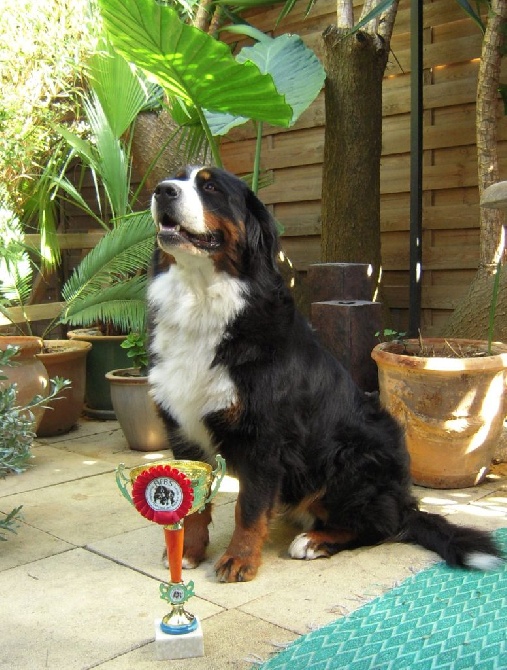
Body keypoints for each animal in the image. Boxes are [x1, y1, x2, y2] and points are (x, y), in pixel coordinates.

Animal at [148, 167, 504, 584]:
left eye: (210, 186)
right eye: (174, 180)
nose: (161, 191)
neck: (203, 301)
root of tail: (404, 501)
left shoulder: (265, 437)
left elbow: (249, 508)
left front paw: (239, 559)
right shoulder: (183, 427)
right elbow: (196, 506)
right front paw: (186, 552)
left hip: (354, 453)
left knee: (383, 525)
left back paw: (314, 541)